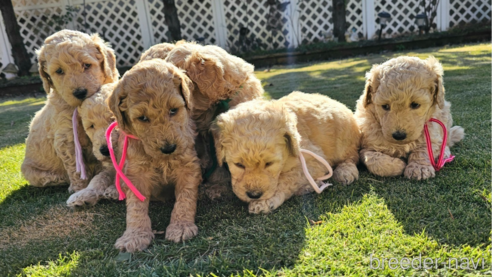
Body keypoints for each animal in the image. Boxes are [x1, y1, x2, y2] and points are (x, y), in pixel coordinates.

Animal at [21, 29, 119, 191]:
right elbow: (75, 166)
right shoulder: (66, 137)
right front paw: (79, 187)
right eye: (59, 71)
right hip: (32, 172)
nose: (80, 92)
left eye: (87, 65)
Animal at [108, 59, 201, 251]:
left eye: (173, 110)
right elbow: (135, 208)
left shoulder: (188, 165)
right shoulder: (136, 174)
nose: (169, 148)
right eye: (143, 118)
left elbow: (185, 197)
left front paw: (181, 226)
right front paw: (134, 235)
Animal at [209, 91, 360, 212]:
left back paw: (345, 172)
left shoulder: (314, 159)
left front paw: (264, 202)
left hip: (343, 138)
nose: (254, 195)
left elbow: (287, 178)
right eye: (238, 165)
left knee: (351, 157)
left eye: (269, 163)